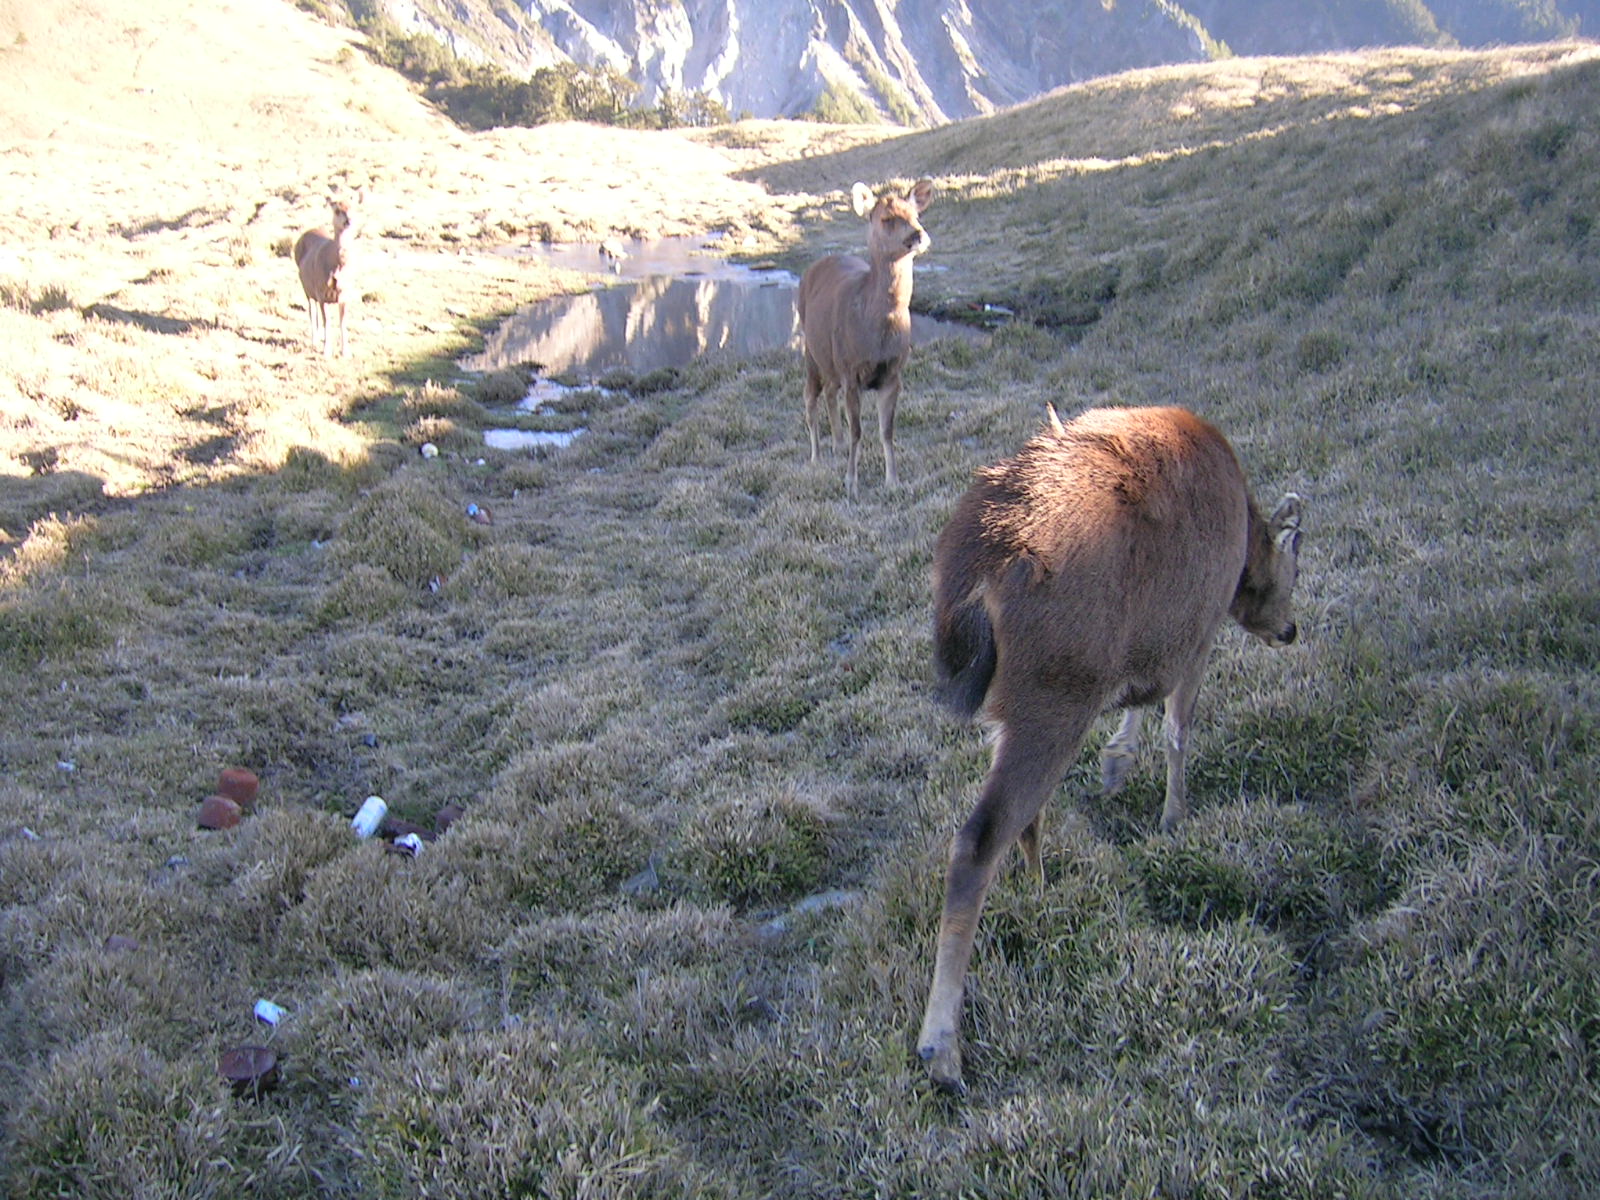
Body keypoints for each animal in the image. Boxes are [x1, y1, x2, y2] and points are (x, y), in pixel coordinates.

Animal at [294, 190, 362, 356]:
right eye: (337, 210)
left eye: (353, 207)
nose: (348, 221)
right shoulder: (321, 292)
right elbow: (327, 322)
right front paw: (326, 351)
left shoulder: (345, 295)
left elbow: (343, 322)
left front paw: (346, 352)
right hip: (307, 288)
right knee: (312, 312)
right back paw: (314, 342)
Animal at [796, 177, 934, 500]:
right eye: (886, 219)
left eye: (915, 215)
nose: (918, 236)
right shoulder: (851, 372)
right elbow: (857, 430)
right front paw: (851, 483)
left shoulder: (893, 373)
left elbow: (887, 430)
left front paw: (893, 481)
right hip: (810, 348)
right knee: (810, 397)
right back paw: (816, 458)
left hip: (830, 360)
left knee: (828, 392)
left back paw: (837, 447)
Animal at [915, 404, 1304, 1093]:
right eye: (1298, 567)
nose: (1290, 628)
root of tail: (975, 580)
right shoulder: (1200, 628)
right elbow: (1179, 728)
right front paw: (1173, 817)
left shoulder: (1154, 642)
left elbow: (1143, 702)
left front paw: (1118, 763)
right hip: (1057, 687)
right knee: (978, 836)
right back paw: (942, 1049)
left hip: (1021, 700)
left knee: (1022, 813)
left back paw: (1040, 886)